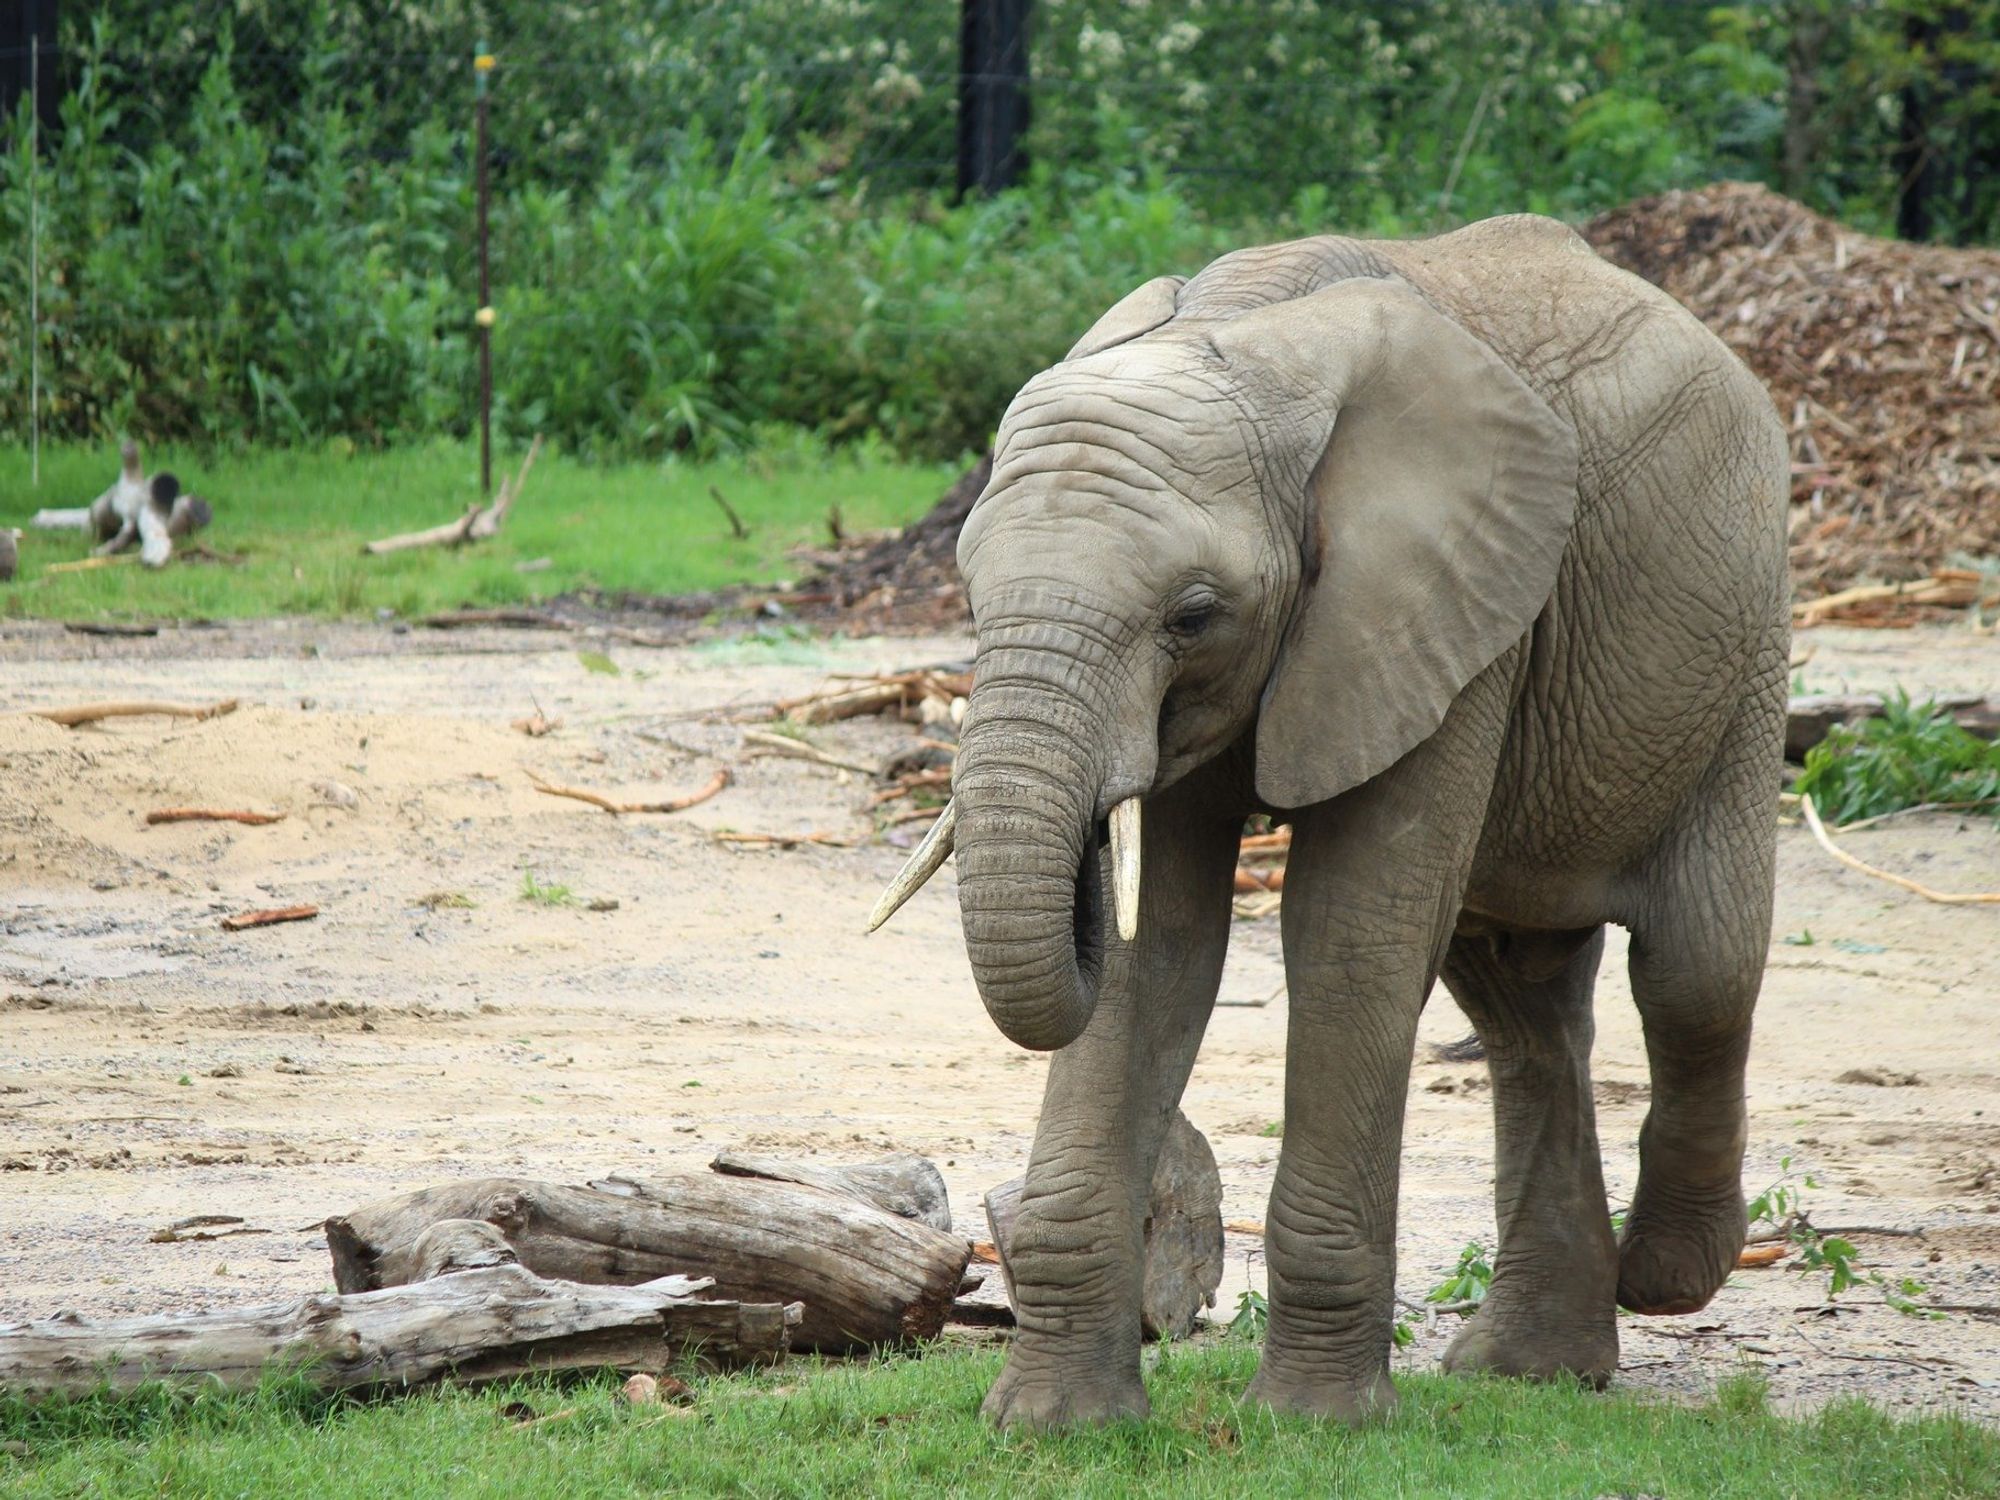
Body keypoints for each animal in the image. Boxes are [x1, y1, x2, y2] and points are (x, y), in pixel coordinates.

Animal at [870, 214, 1790, 1429]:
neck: (1245, 340)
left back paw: (1667, 1275)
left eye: (1192, 616)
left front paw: (1311, 1426)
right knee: (1522, 1005)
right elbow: (1162, 952)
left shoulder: (1451, 606)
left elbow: (1346, 934)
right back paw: (1531, 1370)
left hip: (1743, 645)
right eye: (970, 595)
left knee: (1693, 968)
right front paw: (1050, 1428)